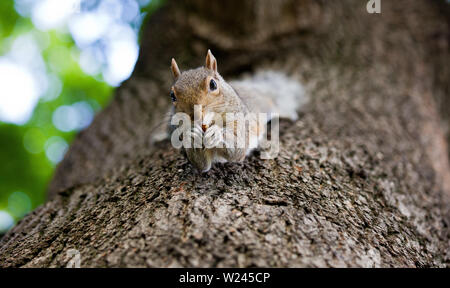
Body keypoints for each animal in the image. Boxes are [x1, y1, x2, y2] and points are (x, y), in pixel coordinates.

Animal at [169, 49, 306, 172]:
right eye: (172, 95)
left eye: (213, 84)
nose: (195, 115)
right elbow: (202, 166)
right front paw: (193, 137)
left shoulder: (240, 121)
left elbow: (237, 149)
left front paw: (216, 133)